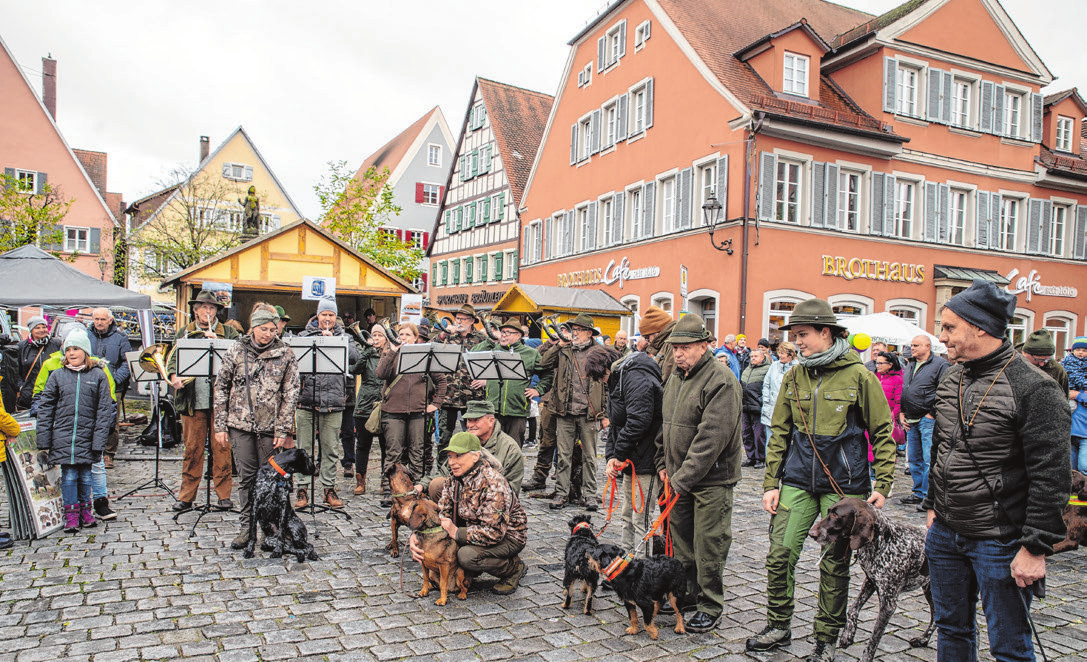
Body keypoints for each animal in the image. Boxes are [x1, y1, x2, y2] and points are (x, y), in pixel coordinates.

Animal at [808, 495, 934, 660]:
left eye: (836, 515)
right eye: (828, 511)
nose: (811, 533)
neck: (883, 541)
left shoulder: (888, 604)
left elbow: (873, 640)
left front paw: (866, 657)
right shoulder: (870, 581)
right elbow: (853, 608)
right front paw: (847, 635)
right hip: (930, 590)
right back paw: (923, 639)